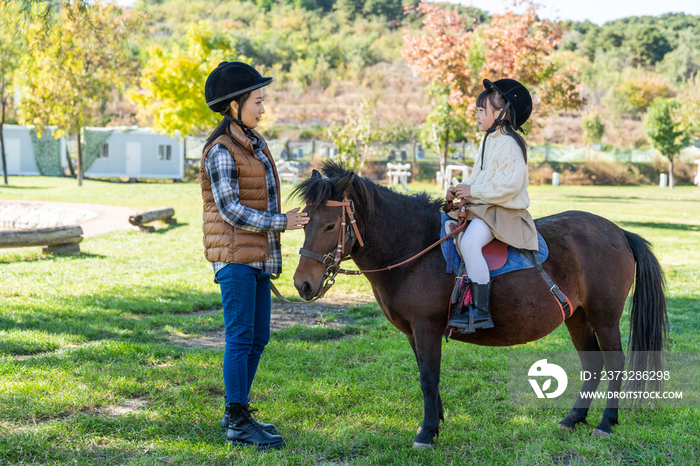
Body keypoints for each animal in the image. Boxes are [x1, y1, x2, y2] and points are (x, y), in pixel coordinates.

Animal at [290, 163, 668, 448]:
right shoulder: (413, 333)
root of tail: (619, 232)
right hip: (577, 317)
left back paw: (606, 422)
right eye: (304, 221)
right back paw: (574, 418)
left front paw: (427, 433)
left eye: (329, 225)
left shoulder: (426, 327)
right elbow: (427, 375)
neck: (414, 248)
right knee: (592, 364)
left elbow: (428, 377)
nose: (302, 284)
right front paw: (433, 422)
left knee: (615, 363)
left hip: (604, 317)